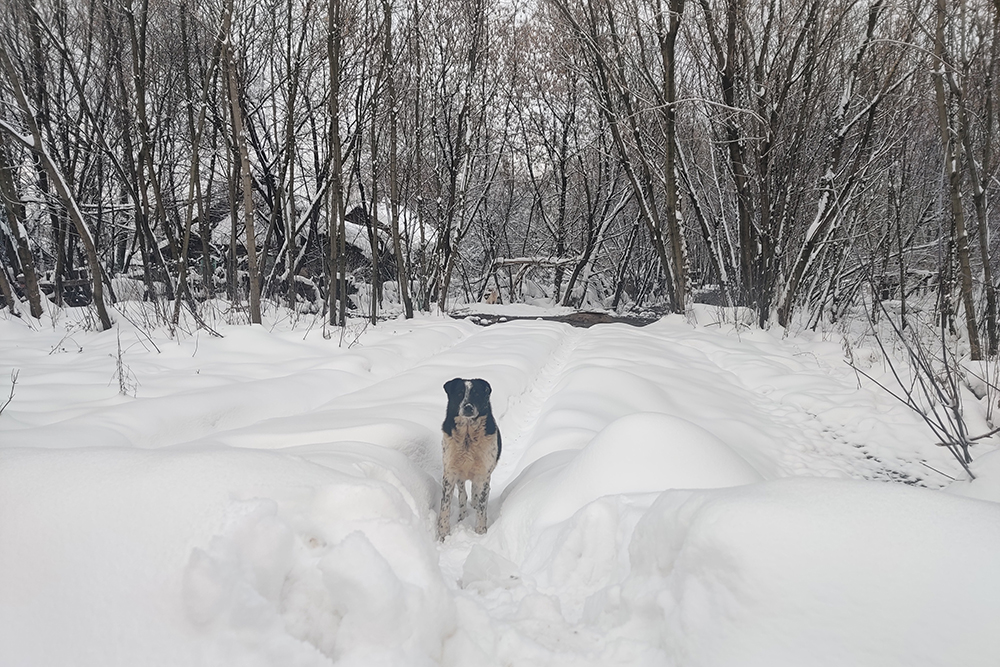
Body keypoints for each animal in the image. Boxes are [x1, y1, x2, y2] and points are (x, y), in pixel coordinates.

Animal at [436, 378, 500, 540]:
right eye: (459, 394)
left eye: (476, 394)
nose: (468, 407)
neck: (467, 437)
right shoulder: (450, 473)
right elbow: (445, 505)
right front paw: (443, 534)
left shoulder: (483, 475)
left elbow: (482, 505)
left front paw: (481, 531)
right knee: (463, 495)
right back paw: (462, 516)